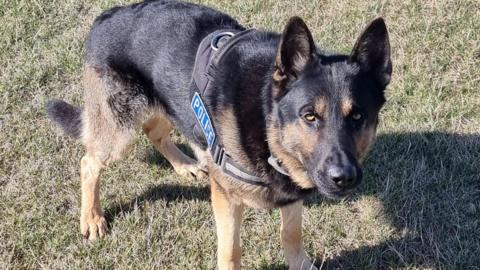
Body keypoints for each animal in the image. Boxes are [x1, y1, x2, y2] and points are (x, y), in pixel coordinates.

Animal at [47, 1, 392, 268]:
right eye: (309, 116)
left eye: (357, 116)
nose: (343, 177)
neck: (267, 123)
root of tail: (107, 16)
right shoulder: (226, 198)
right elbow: (231, 252)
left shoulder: (290, 195)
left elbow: (292, 236)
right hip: (120, 131)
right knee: (89, 162)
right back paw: (91, 218)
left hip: (175, 107)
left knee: (153, 130)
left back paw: (186, 165)